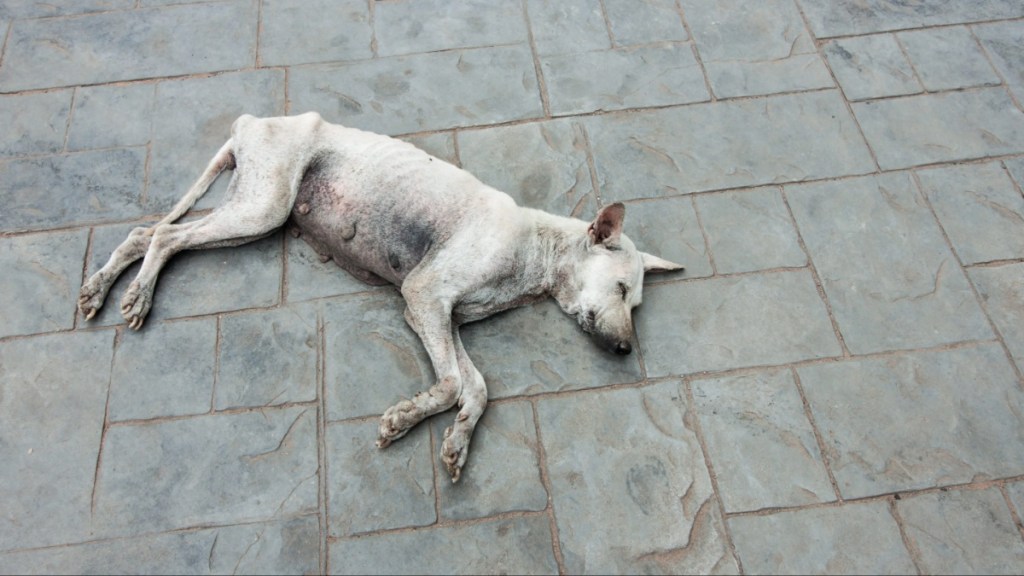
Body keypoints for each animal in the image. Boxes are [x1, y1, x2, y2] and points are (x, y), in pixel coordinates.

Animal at [79, 112, 684, 479]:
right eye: (621, 287)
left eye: (636, 305)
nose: (626, 350)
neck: (534, 248)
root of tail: (256, 122)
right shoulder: (424, 296)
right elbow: (451, 385)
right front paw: (405, 419)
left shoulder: (441, 318)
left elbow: (478, 387)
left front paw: (457, 441)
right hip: (262, 209)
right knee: (166, 237)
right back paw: (137, 296)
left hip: (250, 214)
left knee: (146, 233)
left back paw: (100, 288)